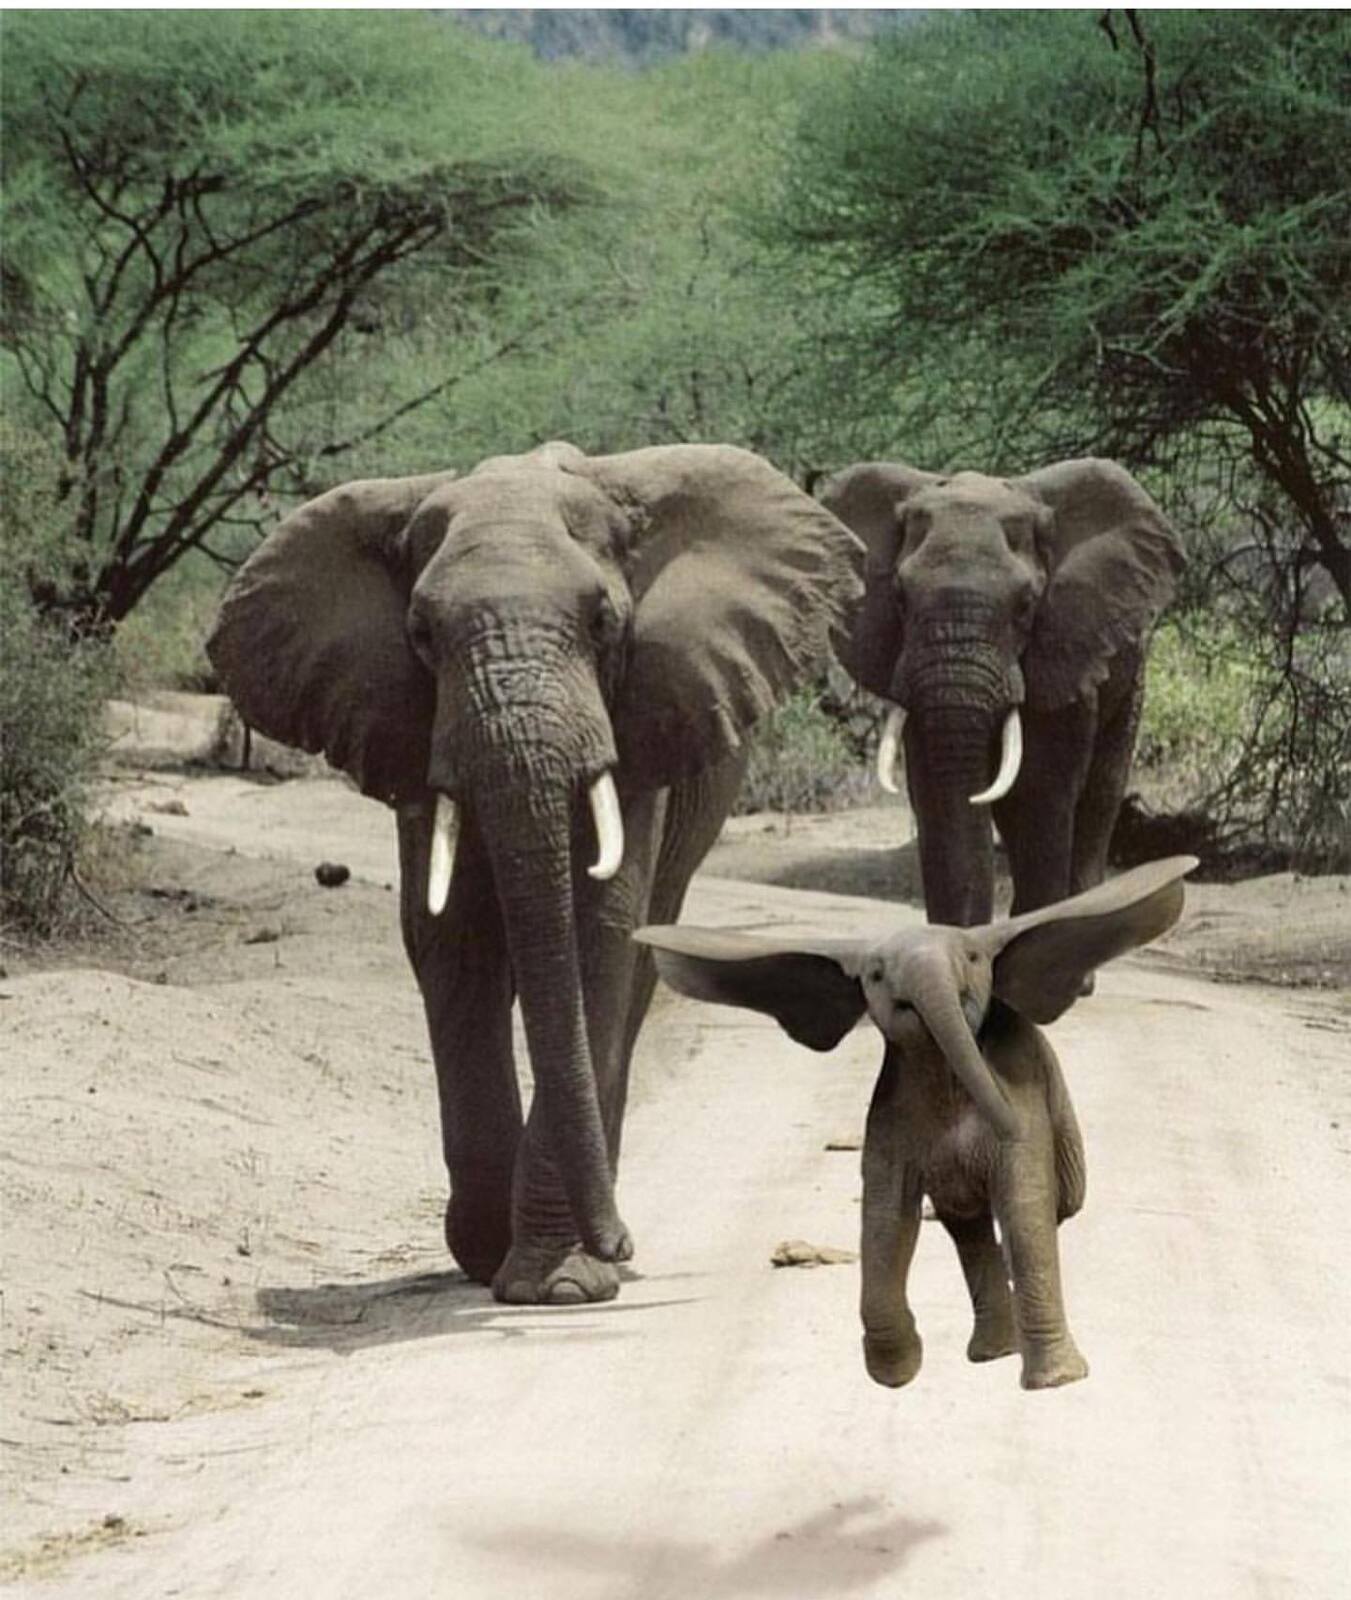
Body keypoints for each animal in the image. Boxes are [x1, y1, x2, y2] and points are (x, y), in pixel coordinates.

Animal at [207, 441, 861, 1306]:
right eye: (420, 633)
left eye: (604, 622)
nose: (621, 1244)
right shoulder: (412, 732)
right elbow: (450, 939)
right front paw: (489, 1253)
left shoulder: (639, 721)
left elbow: (597, 932)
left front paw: (559, 1283)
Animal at [637, 856, 1194, 1389]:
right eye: (876, 975)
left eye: (973, 958)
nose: (1003, 1116)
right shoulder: (889, 1121)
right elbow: (885, 1219)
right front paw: (896, 1375)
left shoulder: (1024, 1099)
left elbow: (1026, 1206)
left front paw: (1058, 1383)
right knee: (968, 1229)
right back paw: (991, 1353)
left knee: (1033, 1216)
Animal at [822, 459, 1185, 926]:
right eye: (899, 597)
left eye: (1027, 605)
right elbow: (936, 795)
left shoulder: (1062, 653)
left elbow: (1038, 795)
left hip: (1130, 682)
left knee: (1096, 802)